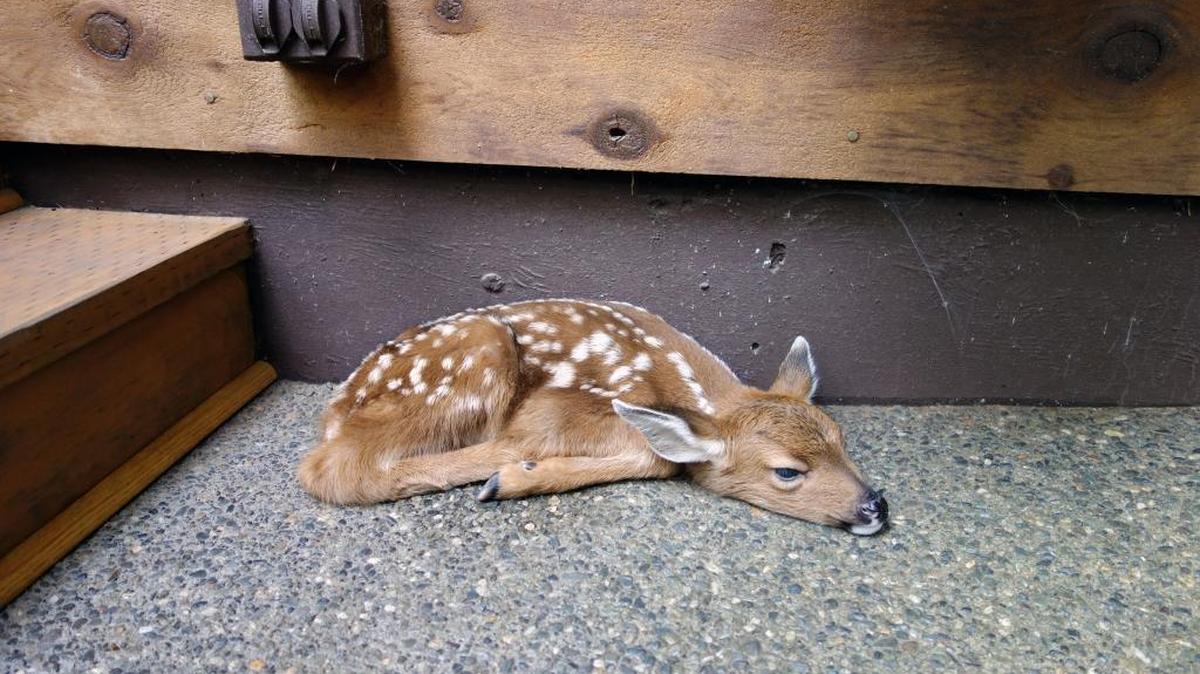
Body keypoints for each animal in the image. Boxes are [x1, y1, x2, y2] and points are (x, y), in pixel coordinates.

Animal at [298, 299, 889, 535]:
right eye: (787, 471)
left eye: (841, 439)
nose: (876, 506)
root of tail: (337, 409)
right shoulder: (563, 406)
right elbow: (657, 458)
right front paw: (516, 477)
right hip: (481, 352)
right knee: (331, 468)